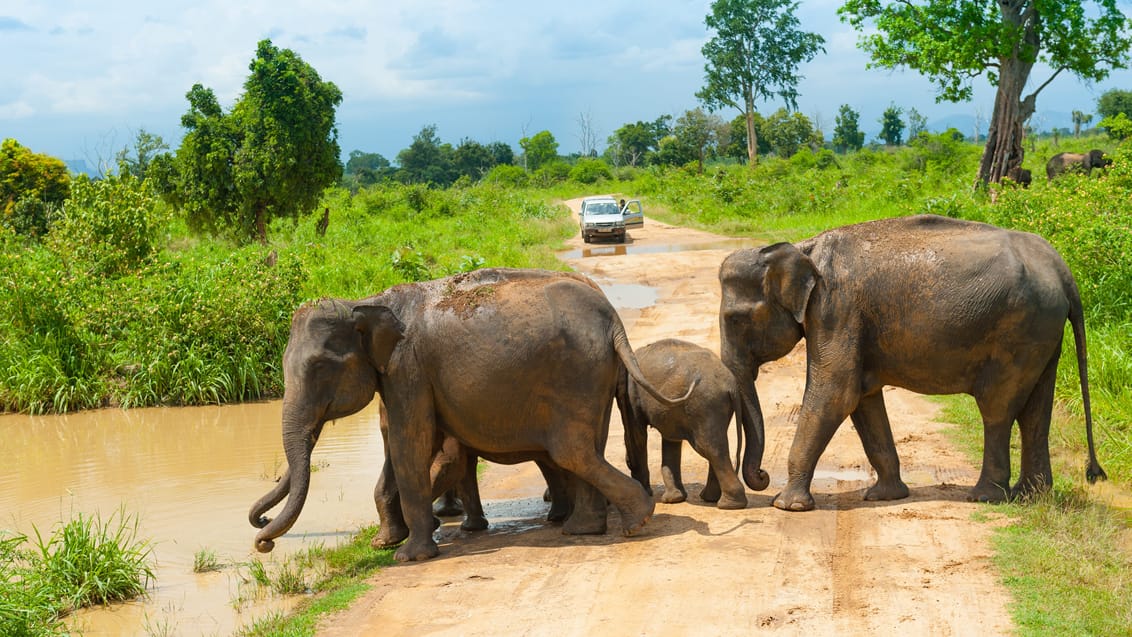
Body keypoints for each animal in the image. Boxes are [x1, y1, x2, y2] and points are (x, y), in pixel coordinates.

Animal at [249, 269, 701, 563]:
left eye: (320, 368)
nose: (263, 538)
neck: (367, 301)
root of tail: (613, 320)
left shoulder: (408, 368)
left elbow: (410, 444)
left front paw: (409, 557)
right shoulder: (403, 376)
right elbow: (404, 445)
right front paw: (385, 544)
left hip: (577, 373)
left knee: (572, 451)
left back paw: (635, 521)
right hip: (595, 375)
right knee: (586, 447)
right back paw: (584, 528)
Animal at [620, 341, 760, 511]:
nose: (627, 461)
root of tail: (731, 386)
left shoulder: (631, 396)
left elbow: (637, 435)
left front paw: (652, 494)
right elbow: (670, 440)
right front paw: (673, 499)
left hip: (705, 404)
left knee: (710, 448)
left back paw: (728, 505)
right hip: (716, 406)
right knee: (716, 445)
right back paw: (711, 498)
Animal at [715, 213, 1104, 513]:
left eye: (735, 319)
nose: (762, 478)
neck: (800, 247)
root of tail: (1060, 267)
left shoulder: (835, 309)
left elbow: (836, 393)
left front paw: (787, 506)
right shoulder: (846, 318)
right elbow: (863, 398)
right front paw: (883, 496)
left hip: (1019, 329)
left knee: (997, 408)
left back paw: (985, 497)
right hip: (1043, 330)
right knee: (1035, 412)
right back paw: (1031, 496)